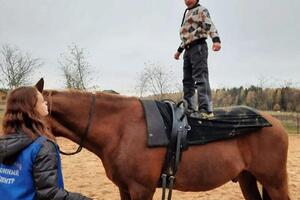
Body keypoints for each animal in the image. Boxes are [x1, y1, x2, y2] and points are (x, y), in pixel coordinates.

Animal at [42, 89, 290, 200]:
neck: (121, 128)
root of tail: (276, 124)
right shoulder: (124, 188)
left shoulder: (142, 189)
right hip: (248, 179)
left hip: (275, 182)